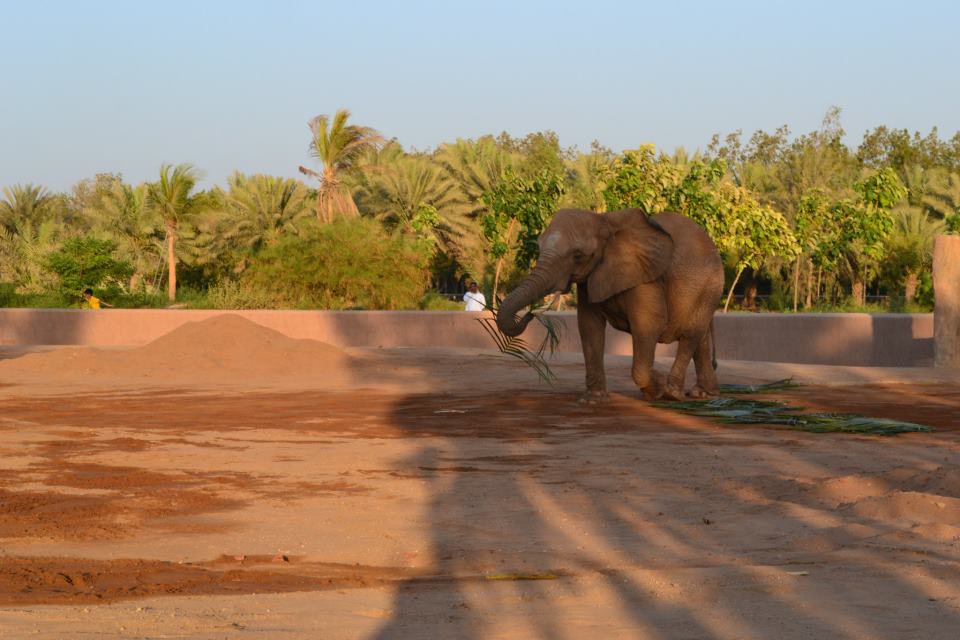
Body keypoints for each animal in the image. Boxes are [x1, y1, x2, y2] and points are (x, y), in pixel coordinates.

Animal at [498, 208, 724, 402]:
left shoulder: (644, 277)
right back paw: (703, 394)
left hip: (710, 285)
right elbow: (589, 326)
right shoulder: (590, 279)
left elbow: (648, 324)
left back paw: (673, 394)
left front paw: (658, 387)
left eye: (578, 256)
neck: (604, 221)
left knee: (690, 335)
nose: (529, 314)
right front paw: (593, 400)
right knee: (700, 338)